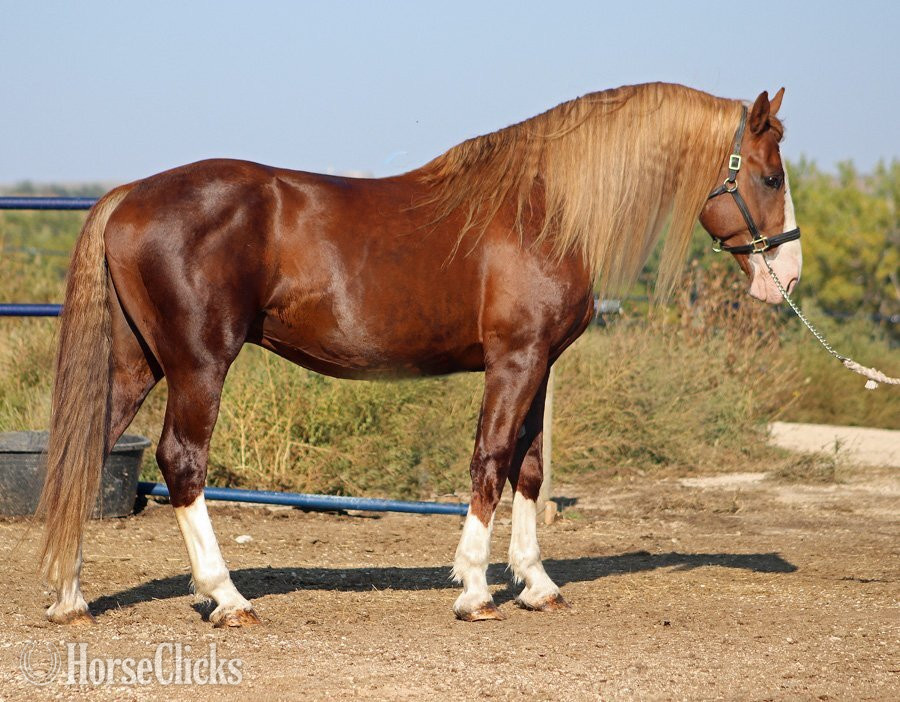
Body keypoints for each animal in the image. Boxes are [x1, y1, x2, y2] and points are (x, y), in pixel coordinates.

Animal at [37, 82, 802, 627]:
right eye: (769, 177)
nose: (786, 277)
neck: (544, 209)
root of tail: (130, 195)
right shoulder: (514, 362)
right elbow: (490, 462)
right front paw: (475, 589)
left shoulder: (540, 366)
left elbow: (528, 469)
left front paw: (538, 584)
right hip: (199, 364)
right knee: (182, 462)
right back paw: (226, 598)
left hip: (138, 362)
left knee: (89, 450)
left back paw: (70, 595)